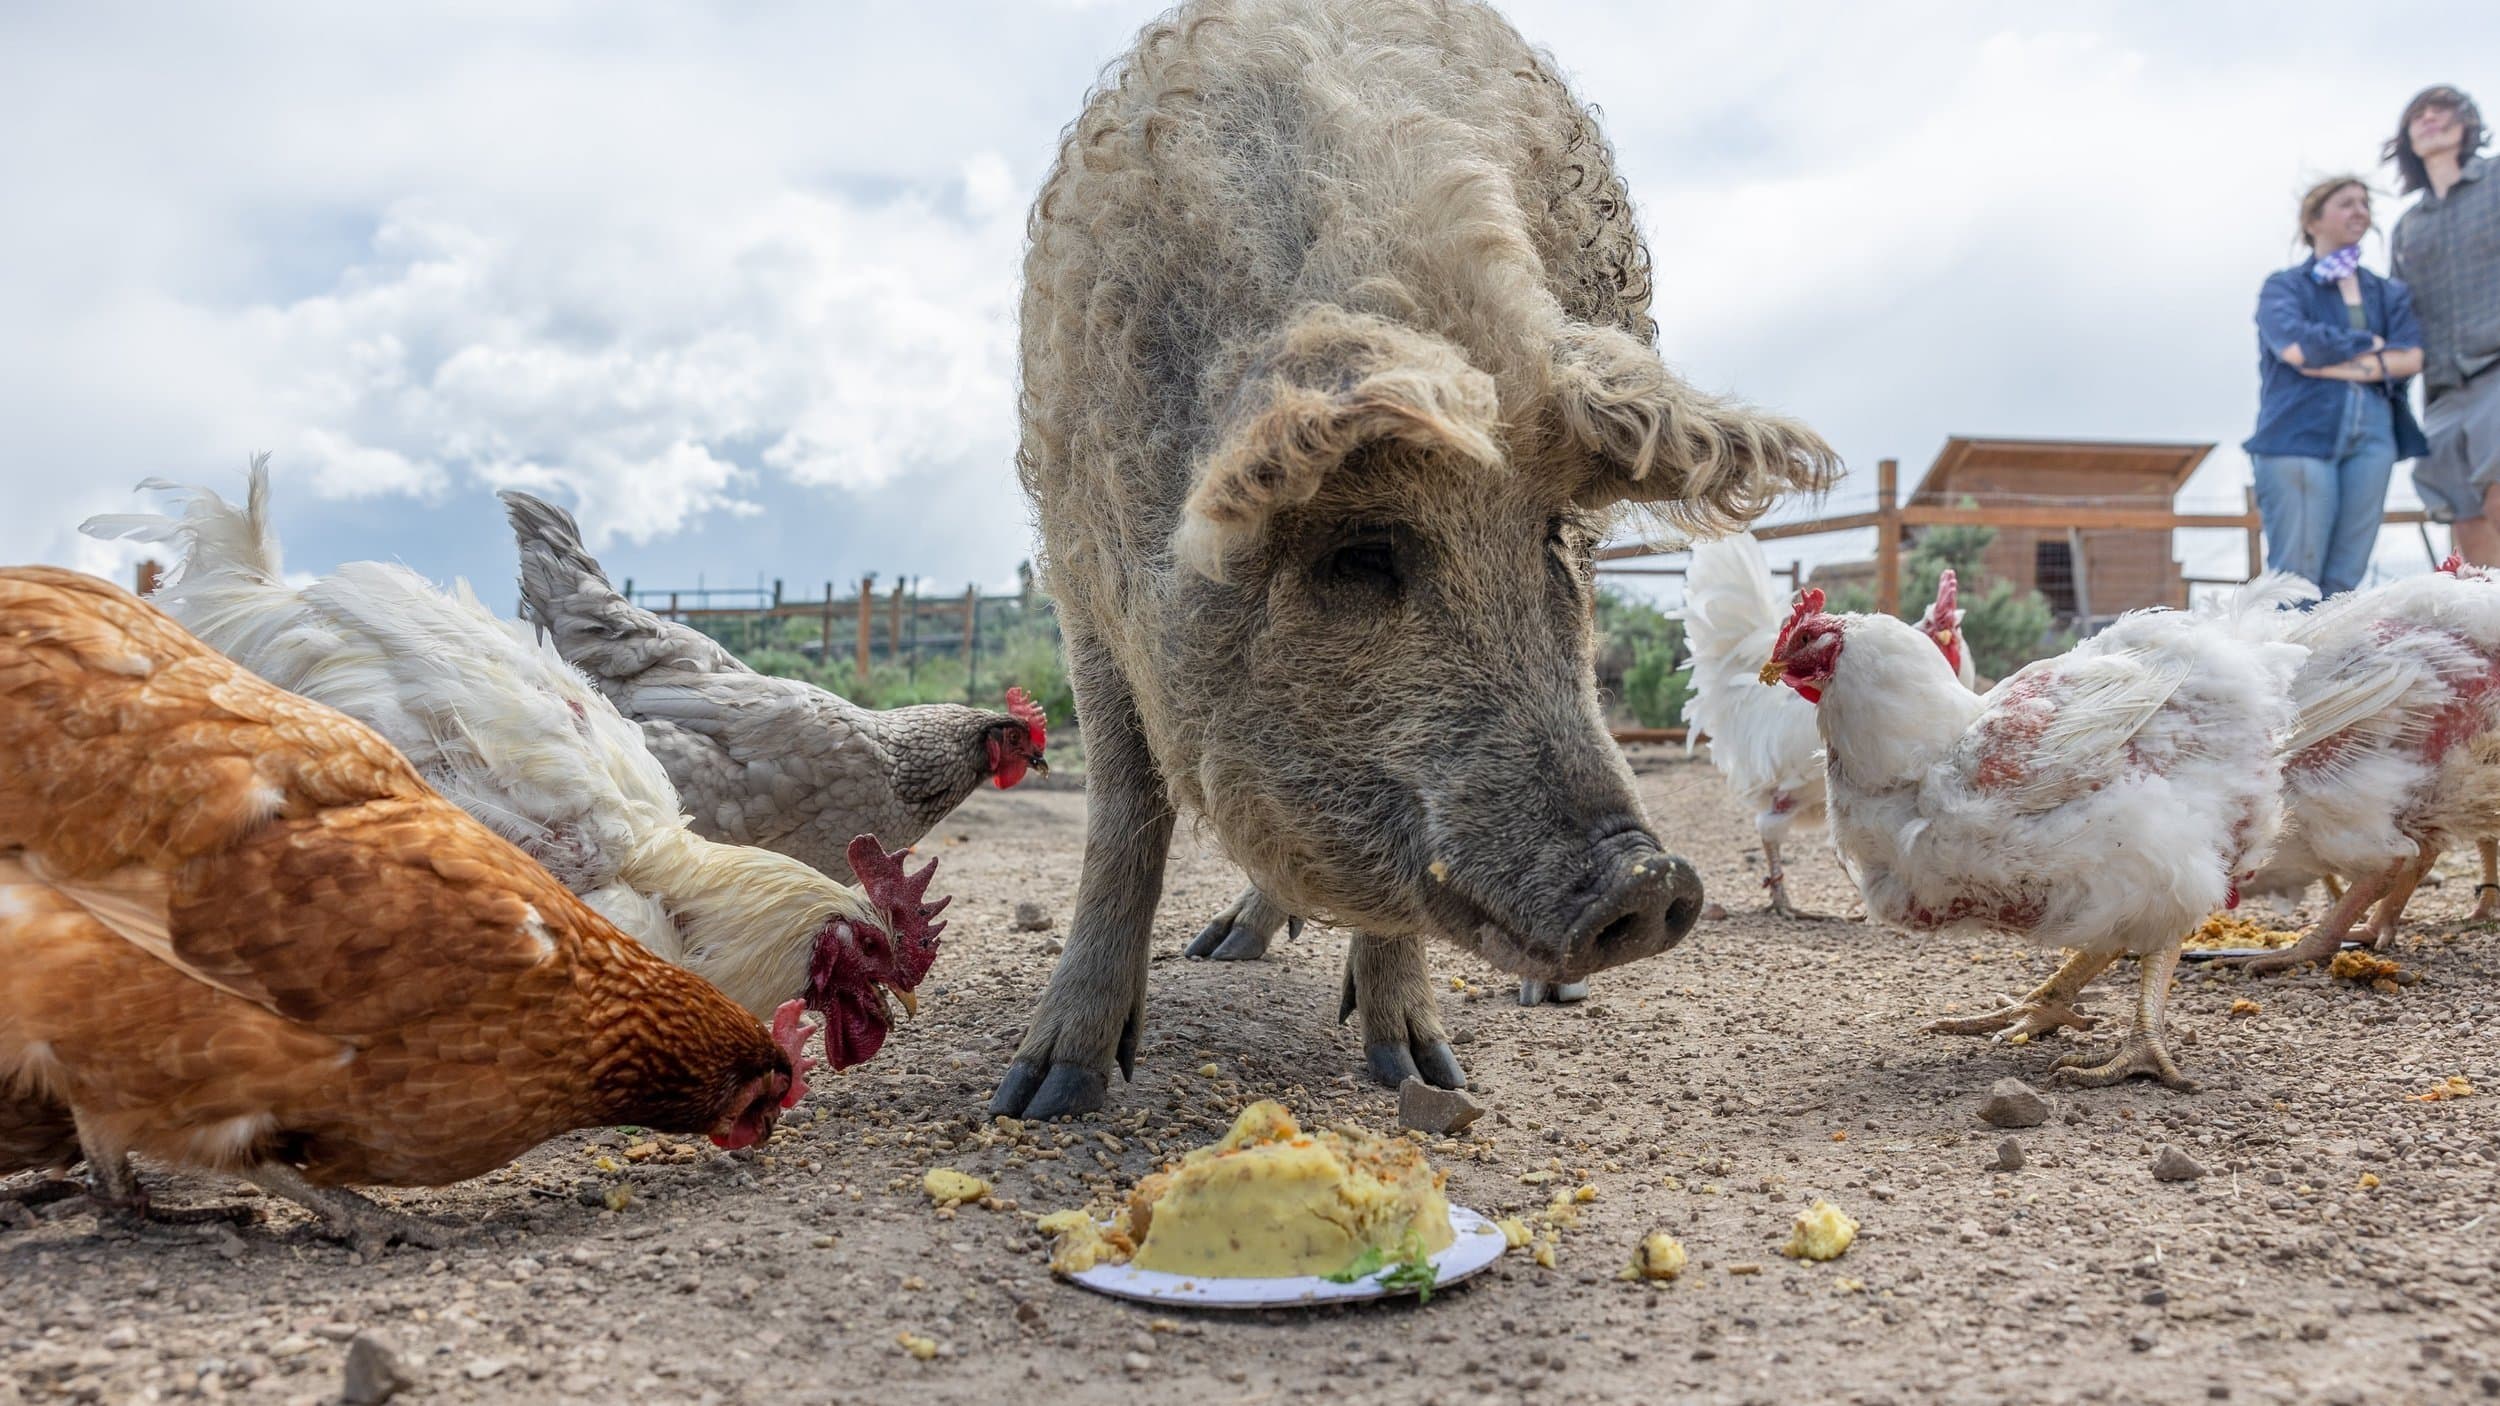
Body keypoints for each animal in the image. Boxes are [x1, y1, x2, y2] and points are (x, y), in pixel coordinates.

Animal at [995, 0, 1839, 1119]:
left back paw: (1534, 996)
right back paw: (1221, 949)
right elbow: (1124, 813)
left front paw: (1423, 1072)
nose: (1650, 881)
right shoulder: (1082, 579)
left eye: (1545, 536)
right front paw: (1041, 1094)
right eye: (1360, 554)